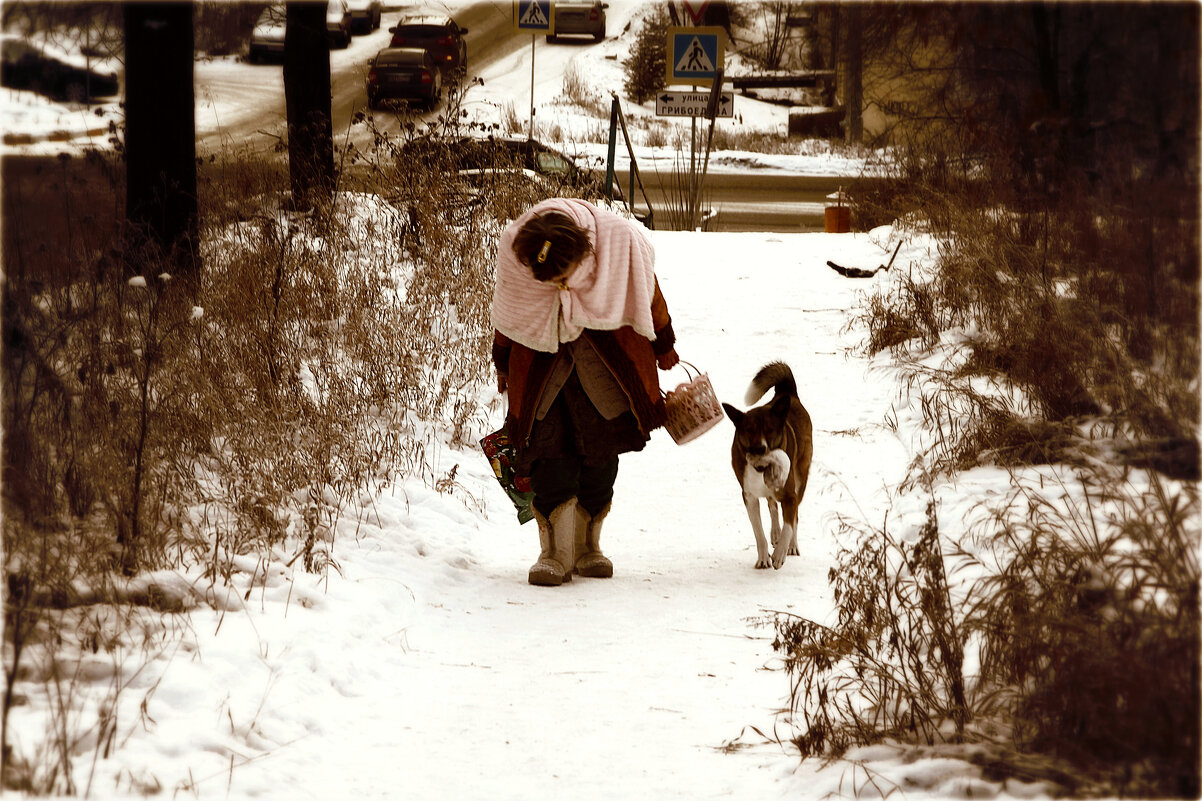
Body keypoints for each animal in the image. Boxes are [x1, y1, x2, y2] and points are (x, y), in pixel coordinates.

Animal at [721, 360, 817, 567]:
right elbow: (758, 532)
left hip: (801, 476)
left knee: (795, 515)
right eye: (749, 430)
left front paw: (780, 554)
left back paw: (791, 545)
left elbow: (790, 524)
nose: (759, 448)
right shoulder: (749, 496)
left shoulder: (789, 496)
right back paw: (775, 533)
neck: (760, 468)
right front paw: (764, 558)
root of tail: (787, 394)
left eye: (770, 430)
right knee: (772, 506)